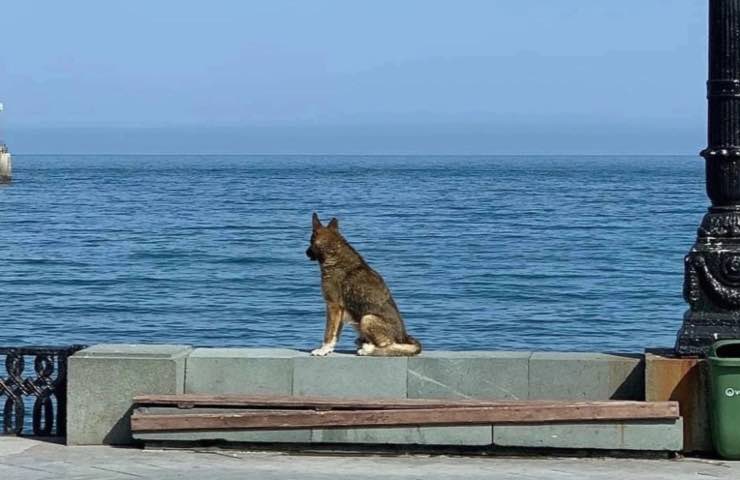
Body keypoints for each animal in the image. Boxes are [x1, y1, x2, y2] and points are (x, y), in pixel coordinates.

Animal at [306, 213, 422, 356]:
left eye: (310, 242)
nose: (306, 252)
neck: (334, 252)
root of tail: (404, 337)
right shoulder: (340, 310)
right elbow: (336, 334)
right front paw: (329, 349)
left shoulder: (333, 305)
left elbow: (329, 332)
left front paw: (323, 350)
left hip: (367, 318)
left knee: (389, 346)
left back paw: (368, 349)